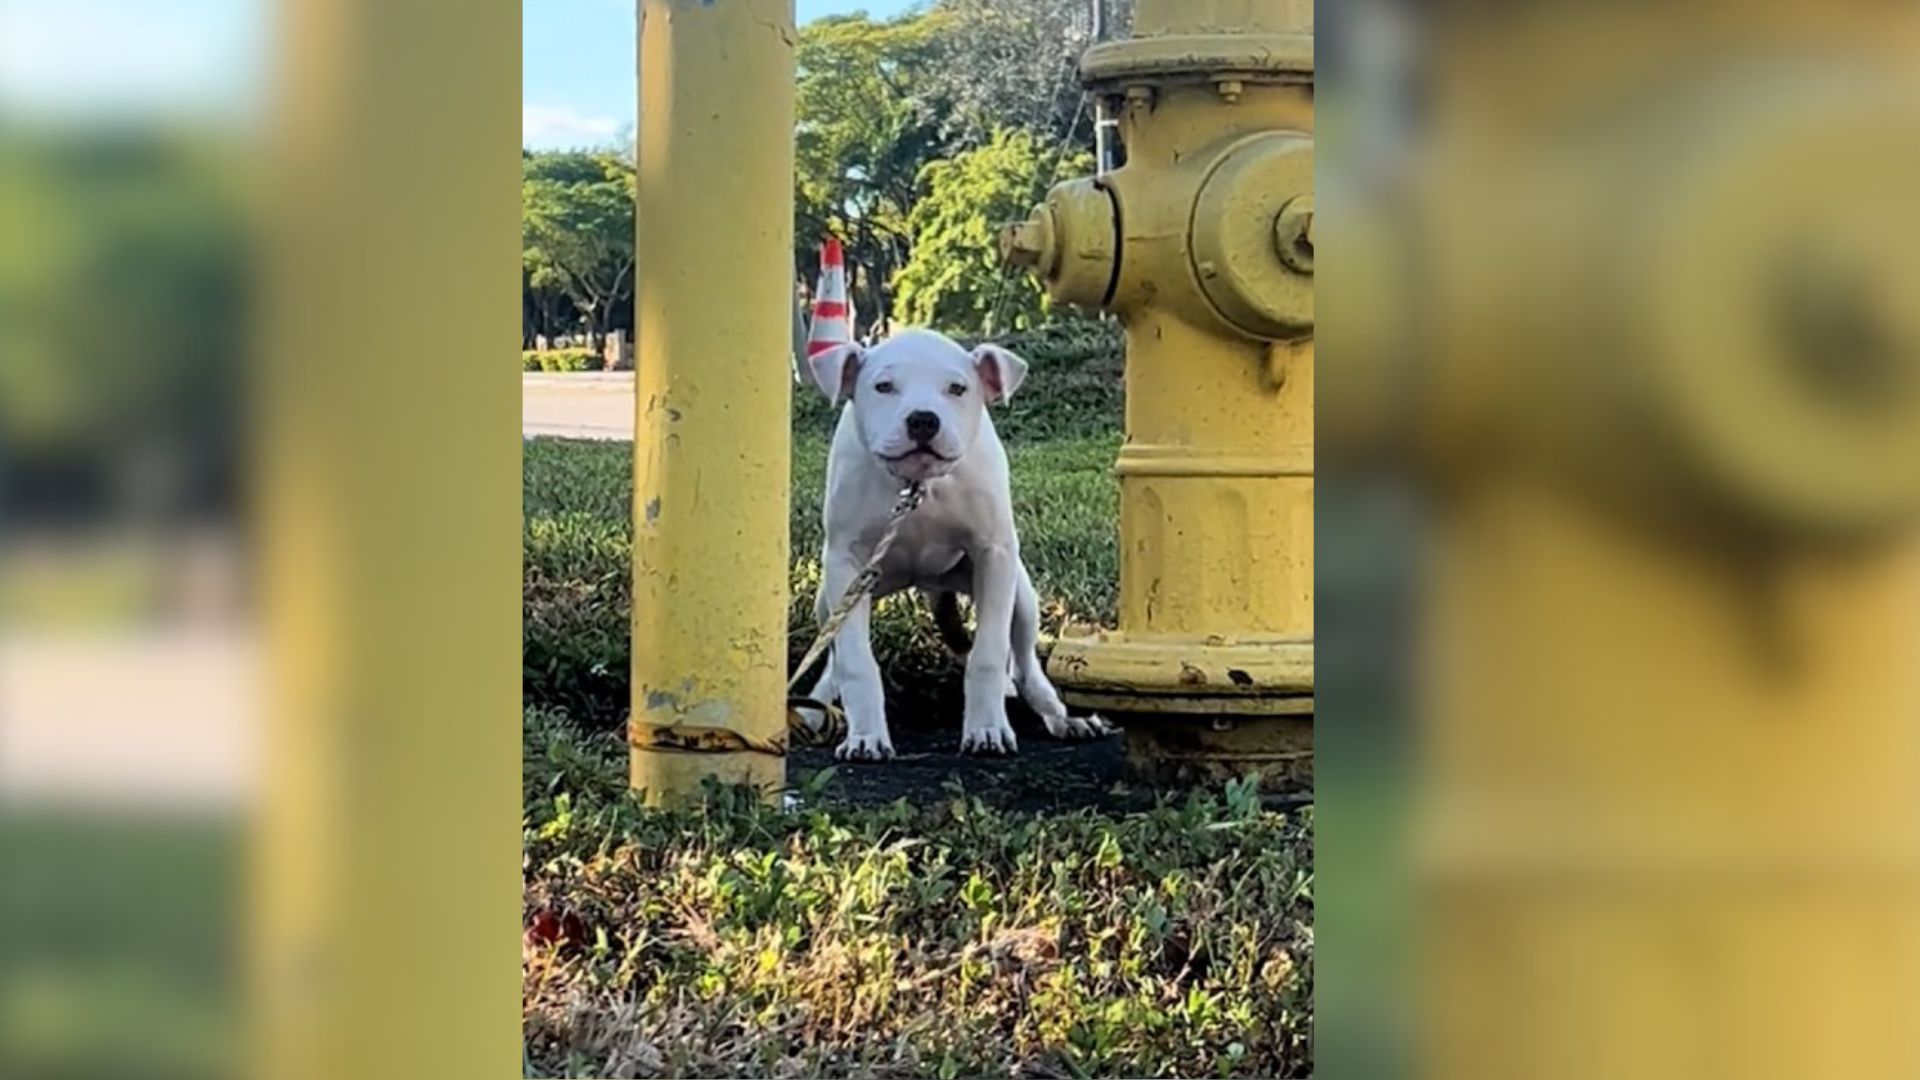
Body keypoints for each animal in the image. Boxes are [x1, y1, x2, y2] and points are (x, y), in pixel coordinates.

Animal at [806, 328, 1113, 757]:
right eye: (883, 386)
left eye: (957, 388)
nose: (923, 419)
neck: (919, 485)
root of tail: (929, 583)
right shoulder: (846, 563)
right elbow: (854, 659)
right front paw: (865, 736)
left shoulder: (993, 555)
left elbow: (988, 654)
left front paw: (987, 730)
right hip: (830, 600)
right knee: (832, 657)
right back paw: (813, 708)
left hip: (1020, 593)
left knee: (1024, 664)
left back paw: (1064, 715)